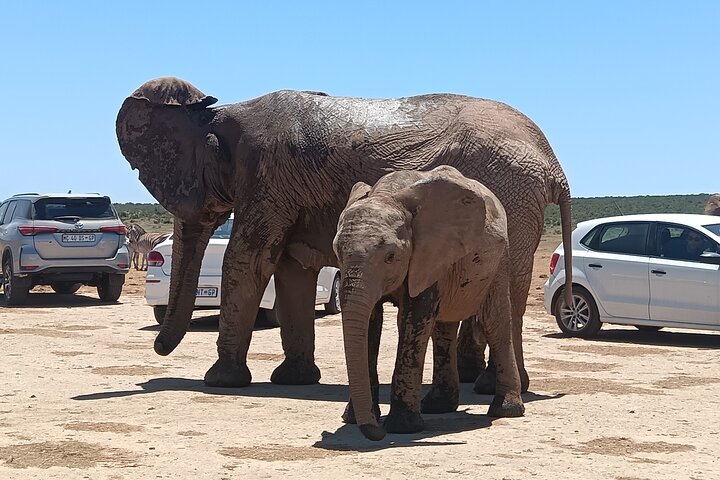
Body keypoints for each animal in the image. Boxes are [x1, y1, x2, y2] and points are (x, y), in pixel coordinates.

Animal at [115, 77, 573, 390]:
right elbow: (290, 269)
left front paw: (221, 381)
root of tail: (552, 163)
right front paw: (293, 380)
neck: (220, 111)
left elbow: (249, 260)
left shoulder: (268, 179)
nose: (158, 350)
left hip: (511, 193)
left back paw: (491, 388)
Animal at [333, 166, 524, 441]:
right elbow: (370, 322)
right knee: (443, 329)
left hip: (499, 258)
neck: (388, 194)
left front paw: (402, 427)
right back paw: (438, 406)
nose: (376, 432)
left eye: (391, 256)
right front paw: (354, 419)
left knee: (494, 321)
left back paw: (506, 410)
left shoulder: (429, 254)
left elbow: (414, 318)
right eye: (336, 252)